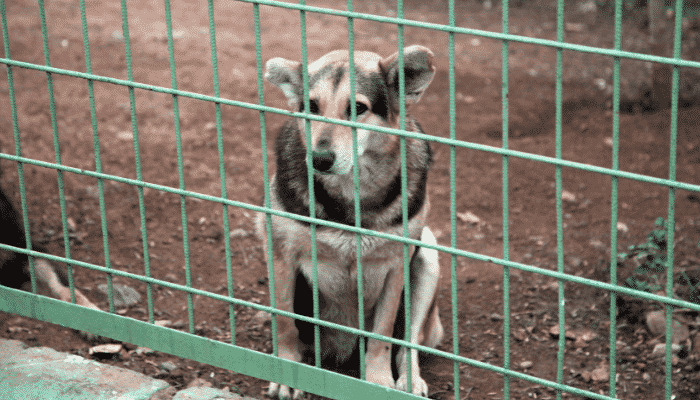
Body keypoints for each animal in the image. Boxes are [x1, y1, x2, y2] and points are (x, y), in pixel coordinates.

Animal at [256, 45, 442, 398]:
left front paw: (379, 381)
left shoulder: (397, 265)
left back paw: (410, 380)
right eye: (311, 107)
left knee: (408, 343)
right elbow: (285, 323)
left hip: (427, 256)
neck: (351, 192)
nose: (319, 160)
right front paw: (288, 373)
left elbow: (383, 335)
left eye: (358, 108)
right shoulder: (281, 256)